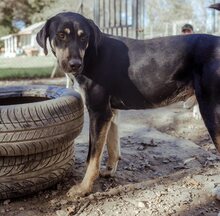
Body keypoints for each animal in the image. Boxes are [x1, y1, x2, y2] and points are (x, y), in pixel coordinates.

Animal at [37, 4, 220, 197]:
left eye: (83, 36)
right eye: (61, 35)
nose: (75, 65)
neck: (90, 53)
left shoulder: (98, 112)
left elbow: (92, 156)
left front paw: (84, 187)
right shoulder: (110, 113)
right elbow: (112, 146)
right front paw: (109, 171)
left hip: (211, 112)